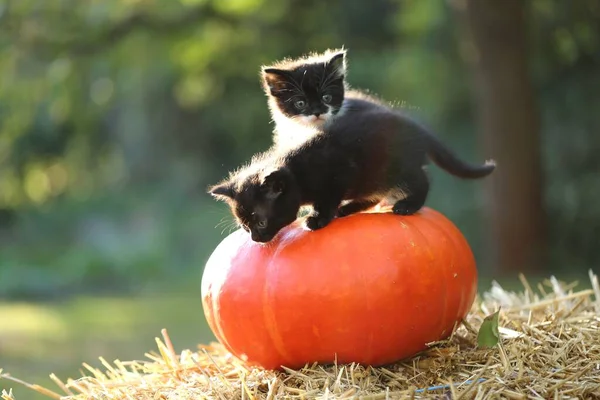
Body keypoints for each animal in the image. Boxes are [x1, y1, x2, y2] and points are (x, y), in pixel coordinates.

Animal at [209, 95, 494, 242]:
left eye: (261, 221)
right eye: (244, 225)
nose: (255, 239)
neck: (298, 171)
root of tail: (419, 130)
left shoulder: (338, 175)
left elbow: (327, 200)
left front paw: (318, 219)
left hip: (396, 168)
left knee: (421, 180)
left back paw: (407, 205)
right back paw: (349, 208)